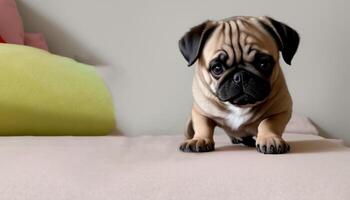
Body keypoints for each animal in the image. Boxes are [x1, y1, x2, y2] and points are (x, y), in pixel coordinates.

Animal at [179, 16, 300, 155]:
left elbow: (268, 123)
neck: (240, 106)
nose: (241, 76)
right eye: (217, 68)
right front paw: (200, 139)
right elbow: (203, 125)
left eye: (263, 64)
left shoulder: (281, 110)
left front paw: (270, 138)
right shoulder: (200, 111)